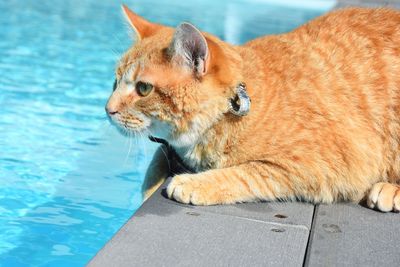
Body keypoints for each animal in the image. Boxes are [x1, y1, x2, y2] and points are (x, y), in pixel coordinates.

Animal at [106, 5, 400, 213]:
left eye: (143, 88)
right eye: (115, 81)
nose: (108, 110)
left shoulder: (323, 164)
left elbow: (246, 173)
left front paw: (194, 182)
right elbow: (158, 158)